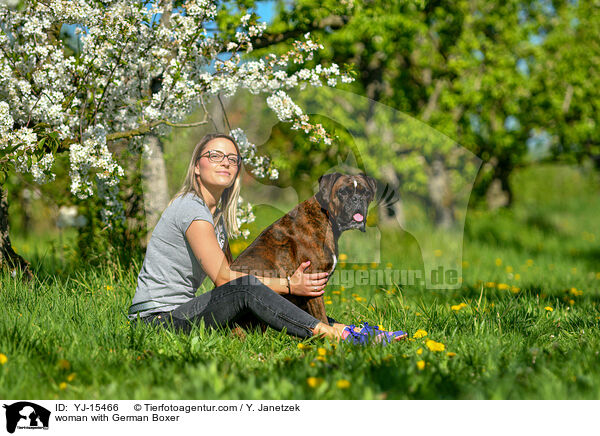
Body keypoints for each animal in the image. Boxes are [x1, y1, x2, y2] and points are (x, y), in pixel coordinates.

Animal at [225, 172, 376, 326]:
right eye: (343, 192)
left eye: (366, 193)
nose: (357, 199)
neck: (326, 218)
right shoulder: (313, 284)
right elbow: (321, 318)